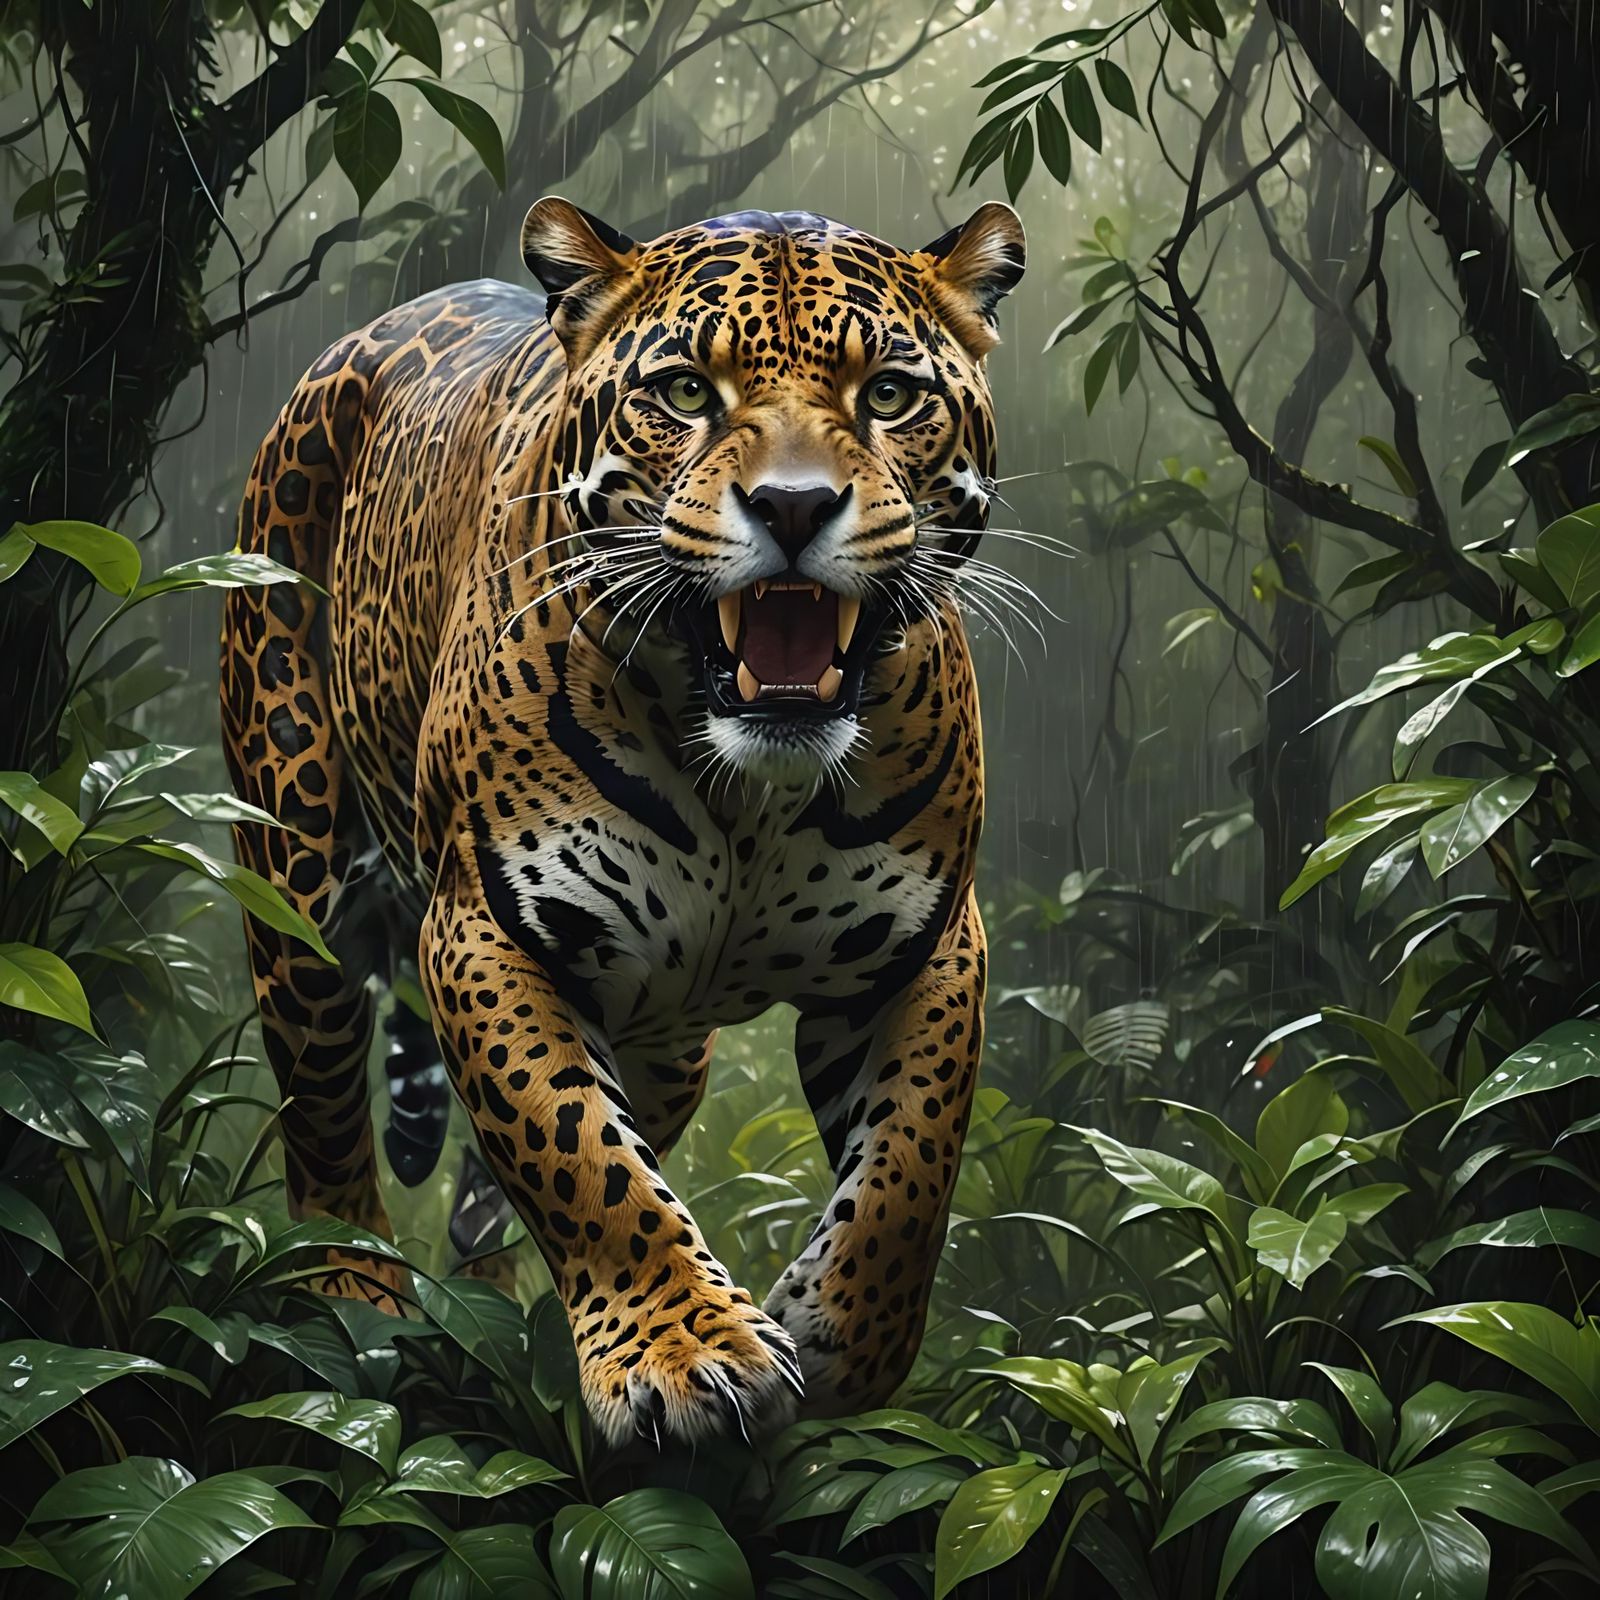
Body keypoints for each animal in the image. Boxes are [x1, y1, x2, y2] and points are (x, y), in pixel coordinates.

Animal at [219, 196, 1026, 1446]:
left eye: (888, 393)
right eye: (687, 391)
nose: (793, 506)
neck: (748, 792)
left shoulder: (923, 949)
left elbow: (910, 1168)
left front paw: (836, 1342)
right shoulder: (489, 928)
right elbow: (579, 1153)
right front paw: (683, 1354)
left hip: (669, 1038)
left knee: (496, 1188)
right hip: (294, 869)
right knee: (326, 1119)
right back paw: (357, 1300)